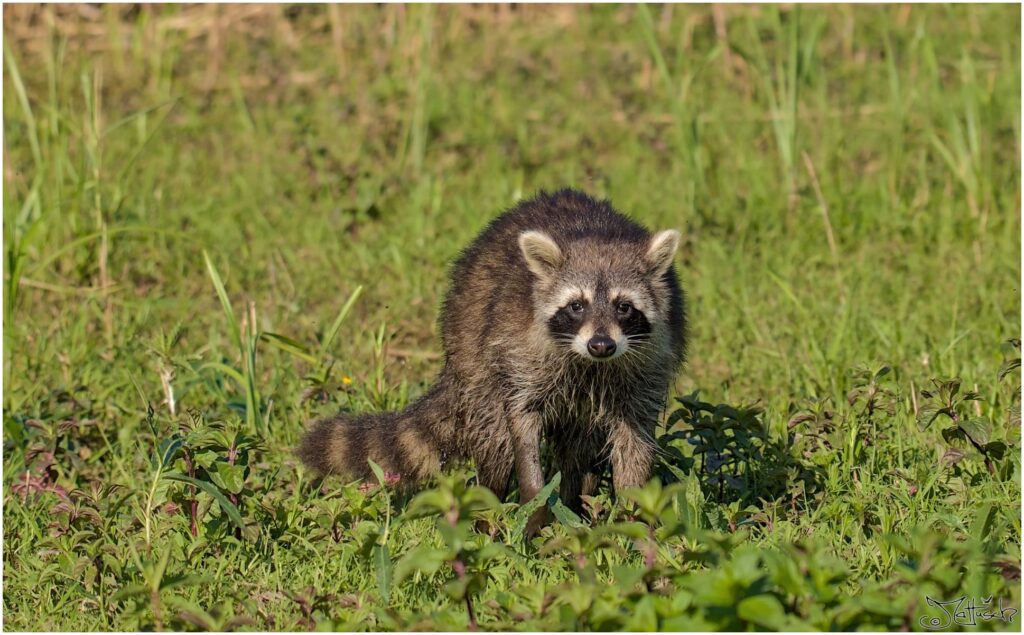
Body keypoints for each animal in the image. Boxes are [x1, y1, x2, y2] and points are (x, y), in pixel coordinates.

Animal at [299, 188, 688, 520]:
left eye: (624, 307)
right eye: (577, 305)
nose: (601, 345)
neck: (589, 364)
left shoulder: (648, 367)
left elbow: (635, 441)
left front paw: (633, 516)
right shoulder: (520, 351)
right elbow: (520, 423)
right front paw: (535, 501)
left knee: (578, 451)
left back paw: (577, 502)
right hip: (474, 354)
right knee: (495, 438)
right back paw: (490, 511)